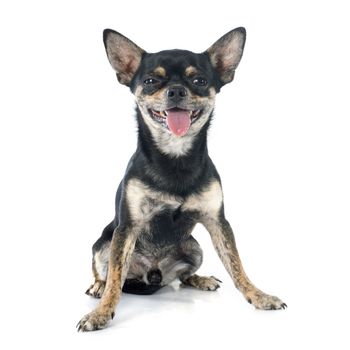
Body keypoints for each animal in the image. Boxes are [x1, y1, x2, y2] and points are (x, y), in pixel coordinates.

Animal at [77, 27, 288, 330]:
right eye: (150, 81)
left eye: (199, 80)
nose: (176, 90)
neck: (175, 157)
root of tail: (153, 274)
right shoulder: (126, 229)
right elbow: (116, 279)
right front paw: (101, 313)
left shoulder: (218, 223)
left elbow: (236, 265)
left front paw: (258, 296)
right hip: (105, 244)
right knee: (107, 273)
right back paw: (97, 286)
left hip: (194, 248)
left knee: (182, 276)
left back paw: (200, 279)